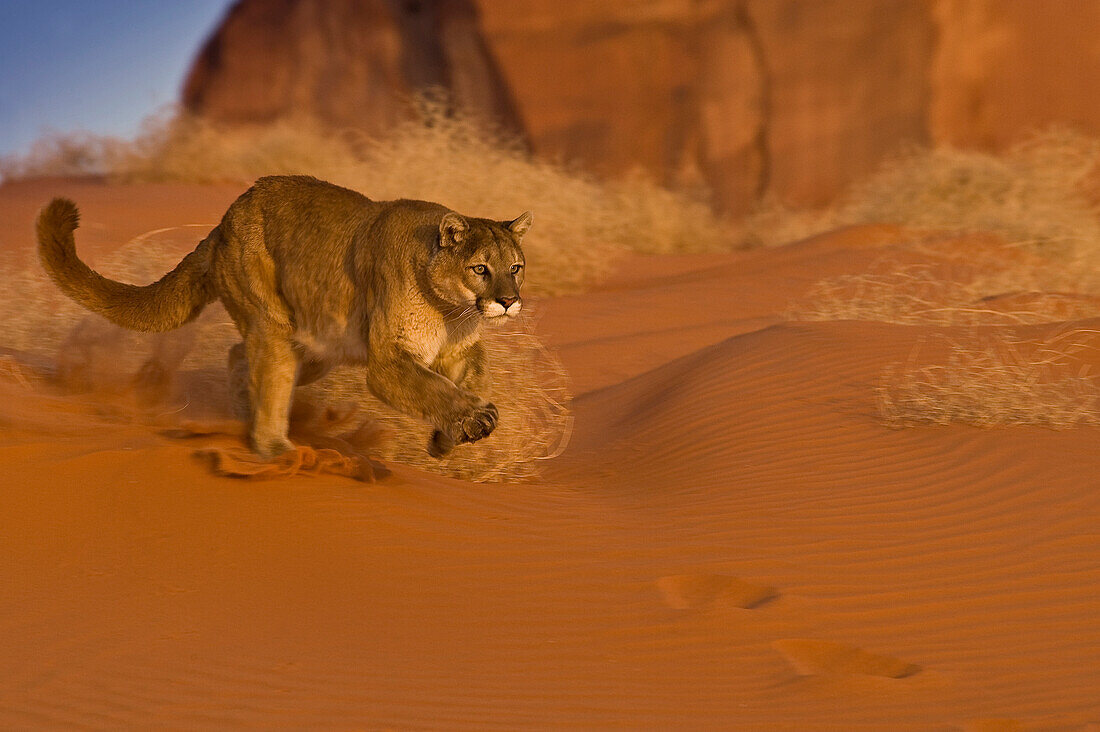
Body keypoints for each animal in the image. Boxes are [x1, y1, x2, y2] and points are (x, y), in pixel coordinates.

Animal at [38, 173, 528, 453]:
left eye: (515, 268)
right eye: (480, 268)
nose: (508, 300)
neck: (451, 311)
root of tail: (224, 220)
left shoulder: (458, 349)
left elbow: (477, 373)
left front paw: (449, 437)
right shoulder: (389, 362)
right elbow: (435, 389)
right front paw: (473, 419)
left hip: (315, 348)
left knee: (239, 356)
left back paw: (242, 412)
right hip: (274, 325)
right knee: (266, 375)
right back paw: (274, 447)